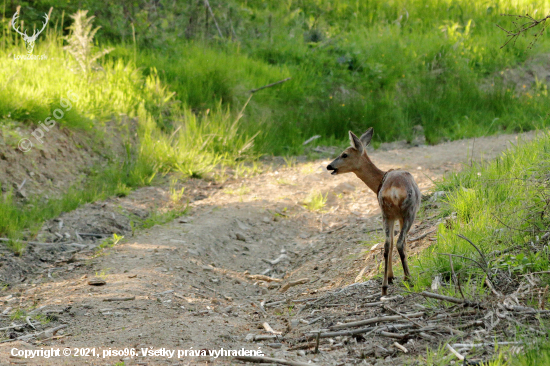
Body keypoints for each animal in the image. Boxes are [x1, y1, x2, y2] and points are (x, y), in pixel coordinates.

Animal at [328, 127, 422, 296]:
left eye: (344, 154)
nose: (329, 166)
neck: (379, 179)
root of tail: (394, 190)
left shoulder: (393, 216)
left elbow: (390, 242)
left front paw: (391, 276)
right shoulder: (401, 216)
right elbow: (403, 242)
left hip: (385, 212)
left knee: (387, 244)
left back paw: (384, 286)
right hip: (409, 211)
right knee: (399, 242)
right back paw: (408, 278)